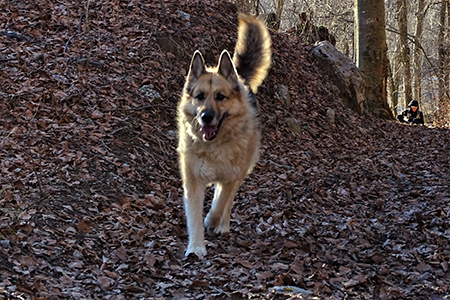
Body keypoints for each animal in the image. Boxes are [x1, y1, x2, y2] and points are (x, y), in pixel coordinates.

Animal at [178, 14, 272, 258]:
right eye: (200, 96)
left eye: (221, 97)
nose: (206, 117)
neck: (214, 146)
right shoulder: (193, 180)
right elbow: (194, 216)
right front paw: (196, 247)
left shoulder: (230, 176)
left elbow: (220, 204)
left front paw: (212, 222)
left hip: (241, 171)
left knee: (227, 201)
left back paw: (222, 225)